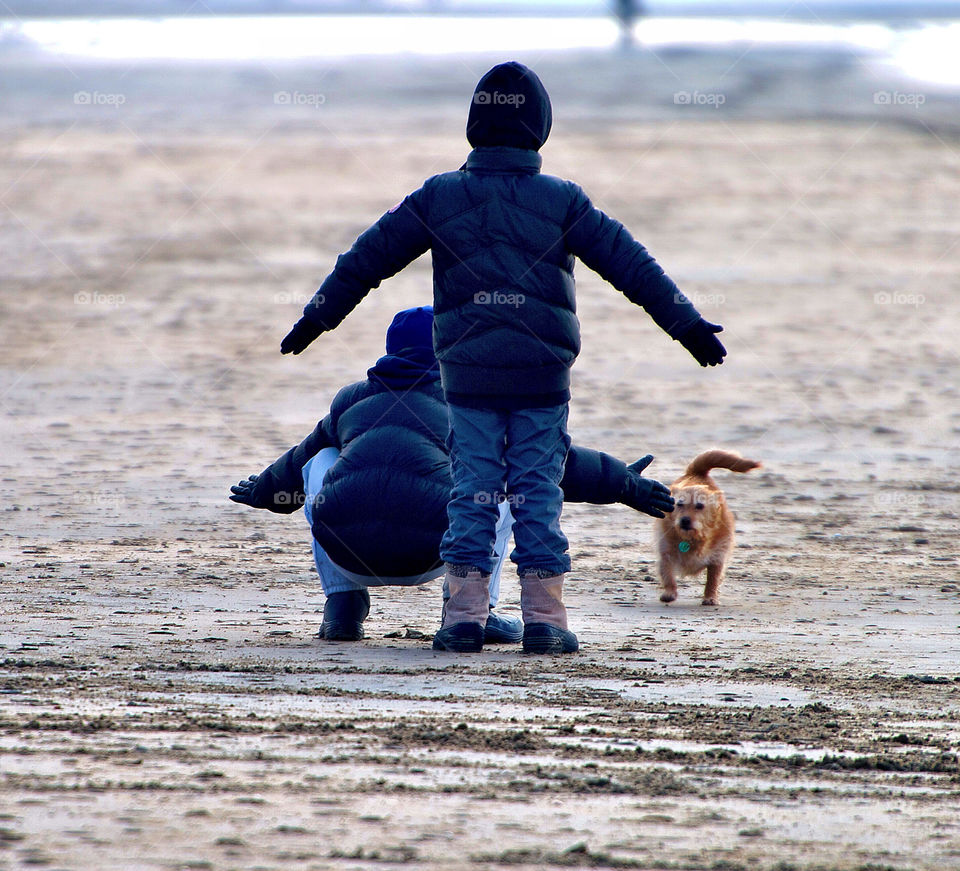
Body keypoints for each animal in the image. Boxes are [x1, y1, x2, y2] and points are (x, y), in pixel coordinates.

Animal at [656, 450, 760, 608]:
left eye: (700, 506)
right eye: (679, 504)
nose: (684, 520)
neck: (692, 538)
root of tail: (696, 473)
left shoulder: (717, 558)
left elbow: (712, 580)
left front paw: (710, 597)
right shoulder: (666, 553)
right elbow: (668, 575)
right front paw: (669, 593)